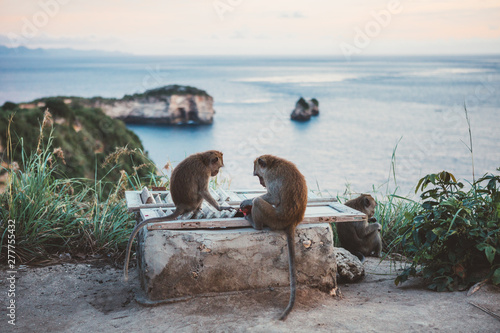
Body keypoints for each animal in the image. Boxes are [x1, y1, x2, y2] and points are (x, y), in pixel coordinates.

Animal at [125, 150, 234, 280]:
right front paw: (220, 207)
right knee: (200, 195)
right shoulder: (204, 172)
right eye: (219, 167)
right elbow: (203, 191)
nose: (216, 172)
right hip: (194, 202)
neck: (203, 160)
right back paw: (197, 209)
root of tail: (180, 205)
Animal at [239, 154, 306, 320]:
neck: (273, 163)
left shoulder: (271, 176)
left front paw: (248, 201)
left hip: (275, 219)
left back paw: (255, 223)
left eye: (258, 176)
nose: (261, 183)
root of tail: (293, 221)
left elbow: (274, 198)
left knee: (259, 202)